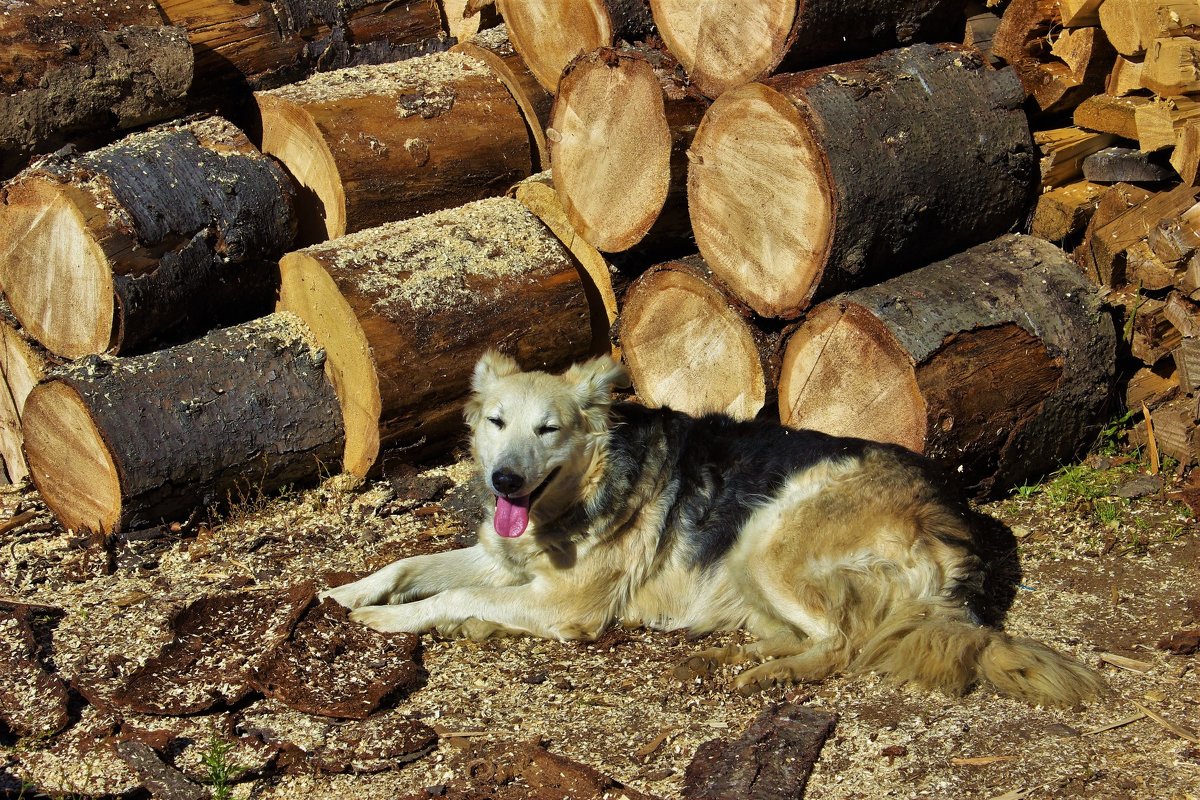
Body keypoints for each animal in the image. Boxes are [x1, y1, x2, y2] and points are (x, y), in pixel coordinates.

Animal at [321, 350, 1104, 705]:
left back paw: (763, 671)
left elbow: (449, 594)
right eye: (496, 423)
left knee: (843, 644)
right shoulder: (504, 564)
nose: (504, 483)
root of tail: (950, 514)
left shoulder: (564, 604)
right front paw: (347, 593)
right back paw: (742, 650)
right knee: (829, 634)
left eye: (549, 429)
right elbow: (409, 567)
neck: (587, 486)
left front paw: (393, 622)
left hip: (766, 537)